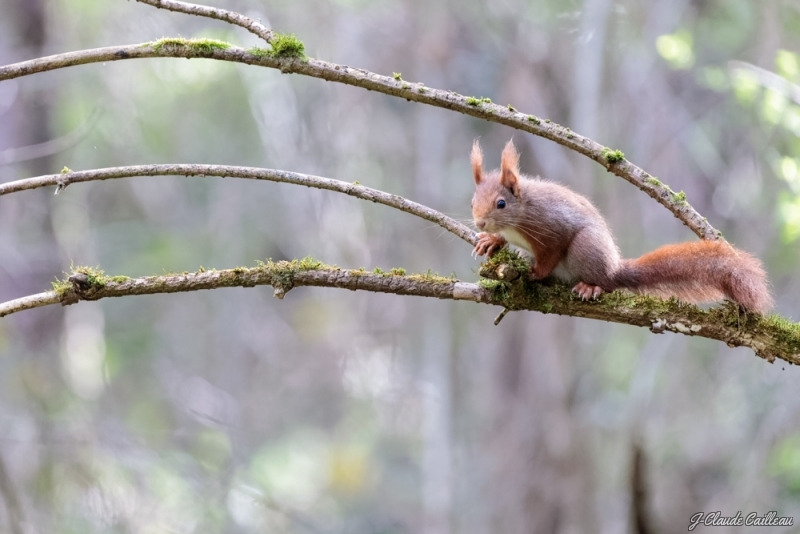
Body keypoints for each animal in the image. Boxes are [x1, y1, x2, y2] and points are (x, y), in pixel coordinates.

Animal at [472, 140, 772, 314]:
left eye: (501, 203)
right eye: (473, 200)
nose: (479, 222)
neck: (522, 210)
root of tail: (614, 269)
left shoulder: (551, 226)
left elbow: (552, 252)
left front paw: (535, 273)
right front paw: (491, 240)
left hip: (586, 249)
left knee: (604, 284)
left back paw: (590, 287)